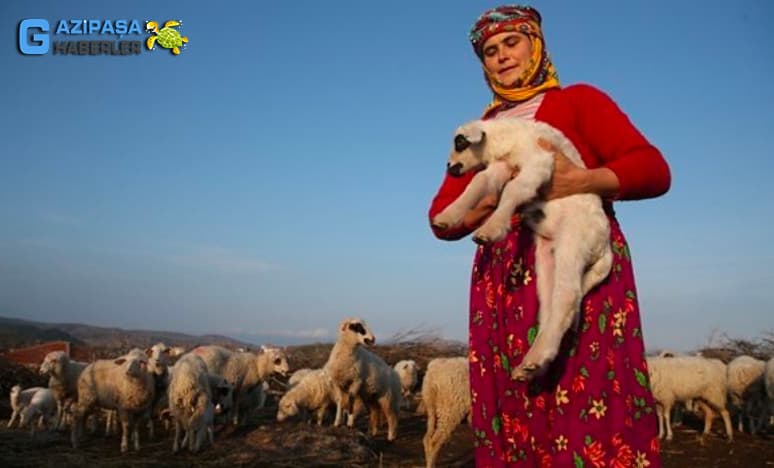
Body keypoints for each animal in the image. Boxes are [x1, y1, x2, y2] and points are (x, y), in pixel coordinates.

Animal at [430, 116, 612, 380]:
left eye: (460, 142)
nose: (450, 168)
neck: (510, 138)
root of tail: (605, 249)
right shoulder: (501, 167)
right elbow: (478, 183)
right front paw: (447, 216)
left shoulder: (539, 163)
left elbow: (513, 190)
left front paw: (491, 229)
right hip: (547, 259)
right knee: (551, 309)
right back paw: (532, 366)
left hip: (573, 242)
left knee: (567, 296)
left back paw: (535, 359)